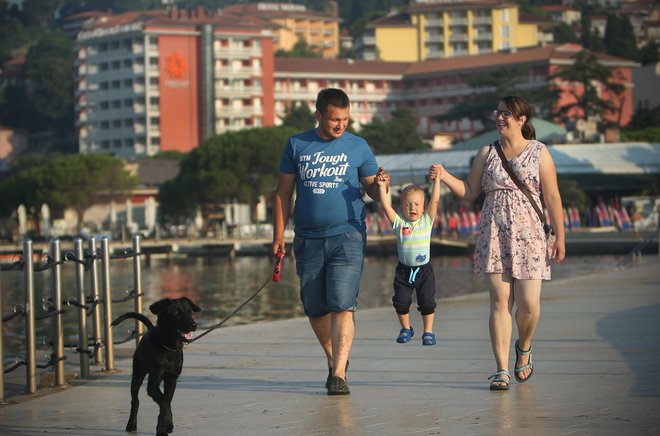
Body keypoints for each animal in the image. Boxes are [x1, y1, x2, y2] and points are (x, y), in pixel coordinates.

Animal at [111, 296, 201, 436]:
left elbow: (165, 403)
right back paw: (131, 424)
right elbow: (164, 403)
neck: (168, 349)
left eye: (190, 311)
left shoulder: (171, 380)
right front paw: (168, 425)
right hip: (137, 374)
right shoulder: (152, 385)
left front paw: (162, 429)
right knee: (135, 401)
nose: (194, 325)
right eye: (176, 312)